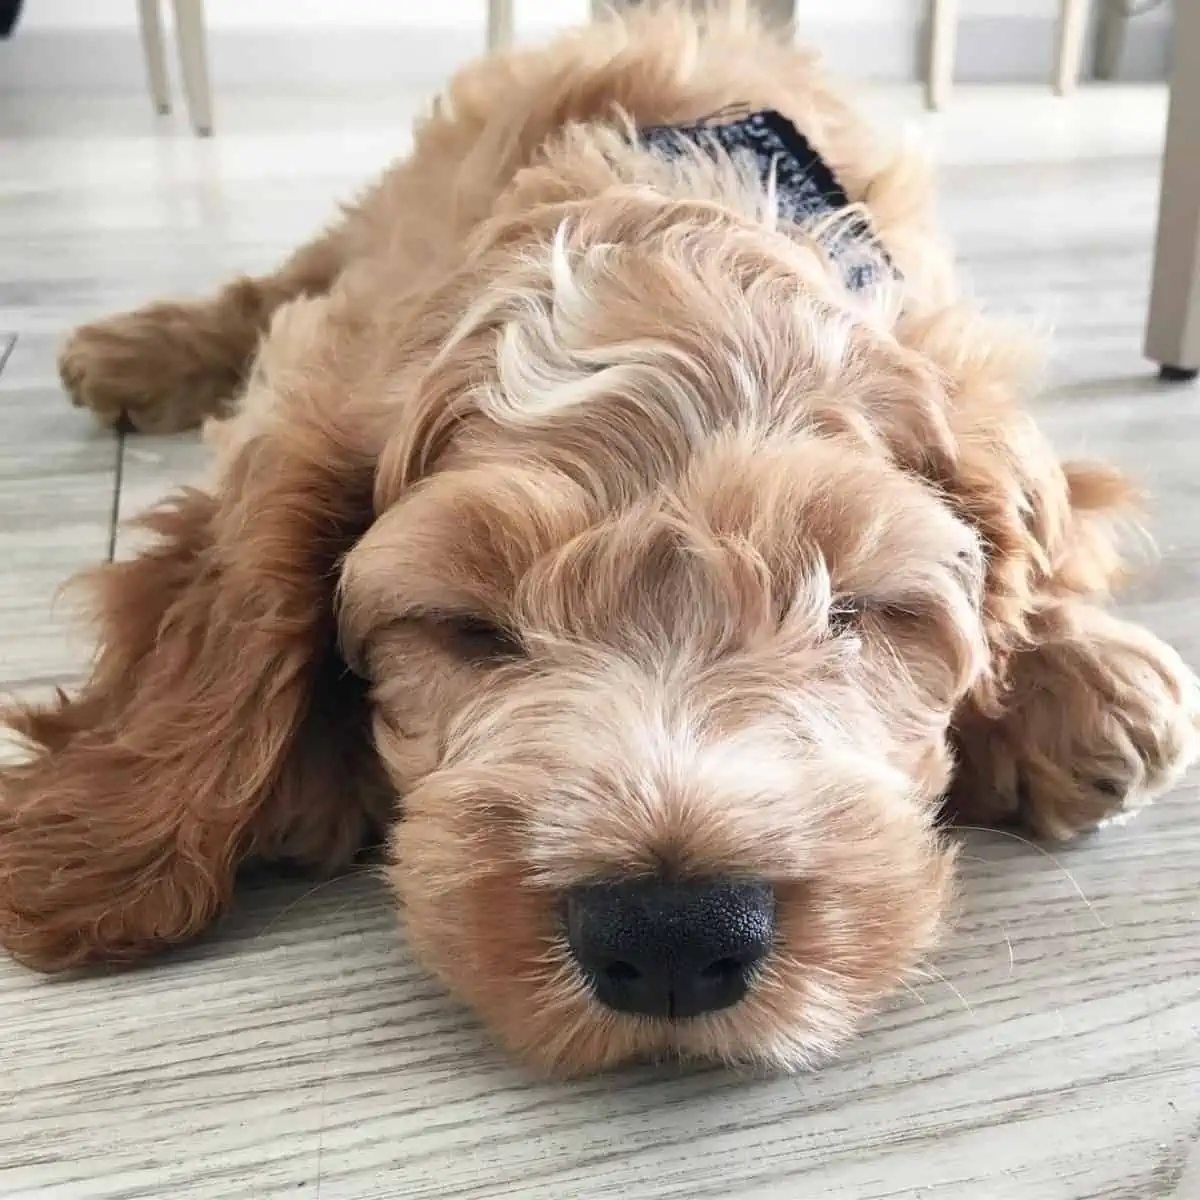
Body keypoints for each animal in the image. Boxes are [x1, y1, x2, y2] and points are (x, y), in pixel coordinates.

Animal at [2, 2, 1200, 1080]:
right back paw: (130, 351)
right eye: (466, 627)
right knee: (282, 277)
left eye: (853, 611)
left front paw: (1078, 680)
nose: (672, 935)